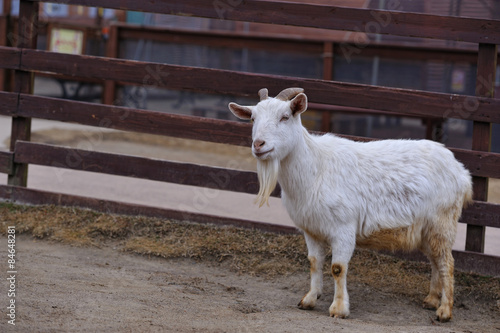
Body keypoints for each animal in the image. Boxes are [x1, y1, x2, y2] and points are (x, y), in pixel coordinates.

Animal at [230, 87, 472, 320]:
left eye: (285, 116)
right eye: (252, 118)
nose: (258, 144)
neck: (316, 166)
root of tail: (461, 172)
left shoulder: (343, 228)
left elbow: (338, 268)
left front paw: (339, 309)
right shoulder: (311, 229)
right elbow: (314, 262)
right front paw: (309, 299)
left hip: (442, 221)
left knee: (447, 263)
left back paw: (444, 311)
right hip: (426, 229)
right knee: (435, 260)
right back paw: (431, 300)